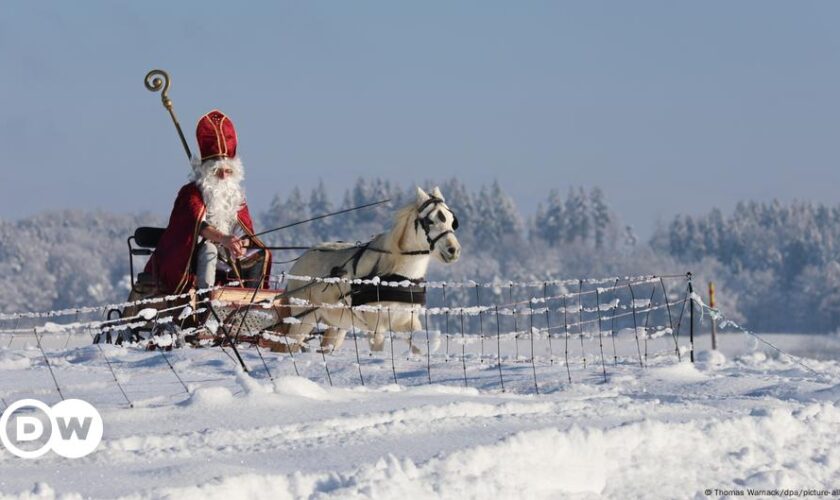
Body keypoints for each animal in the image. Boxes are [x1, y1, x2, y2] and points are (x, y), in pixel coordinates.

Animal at [286, 186, 462, 354]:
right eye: (429, 221)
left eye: (452, 220)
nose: (454, 250)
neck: (399, 275)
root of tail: (300, 260)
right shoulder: (376, 326)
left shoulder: (406, 320)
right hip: (303, 319)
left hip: (337, 325)